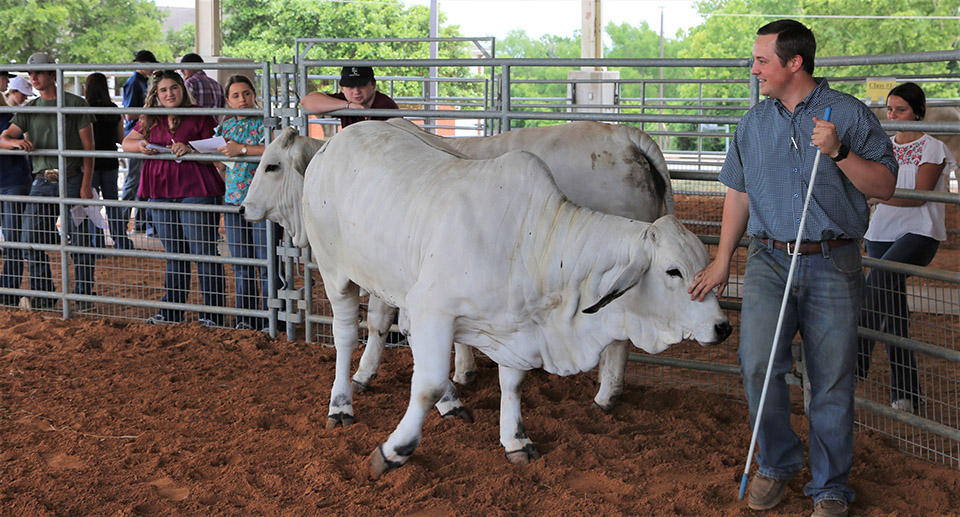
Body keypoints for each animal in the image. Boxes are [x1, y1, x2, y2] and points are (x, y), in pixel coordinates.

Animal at [244, 120, 732, 476]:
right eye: (673, 271)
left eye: (270, 166)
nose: (723, 327)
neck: (532, 238)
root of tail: (337, 142)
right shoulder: (430, 306)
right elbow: (425, 377)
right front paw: (397, 445)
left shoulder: (513, 324)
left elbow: (508, 382)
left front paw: (513, 437)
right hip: (336, 271)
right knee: (346, 334)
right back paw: (341, 403)